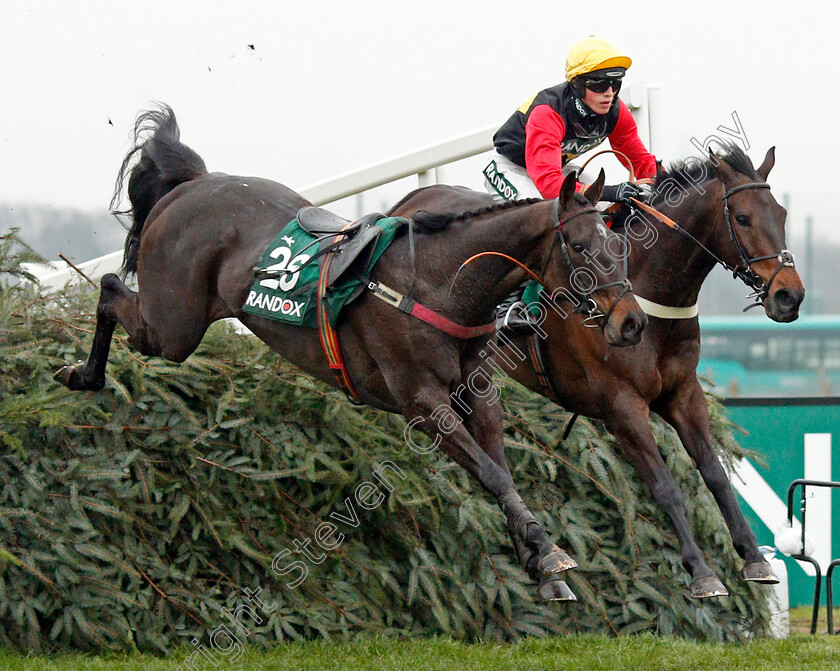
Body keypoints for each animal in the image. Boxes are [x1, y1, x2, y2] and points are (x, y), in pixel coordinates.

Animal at [55, 106, 648, 604]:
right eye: (578, 247)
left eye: (620, 246)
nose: (632, 323)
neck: (441, 283)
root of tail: (194, 184)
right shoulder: (422, 403)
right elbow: (494, 475)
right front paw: (548, 555)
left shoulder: (475, 396)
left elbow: (499, 471)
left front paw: (539, 558)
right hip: (171, 326)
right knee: (110, 288)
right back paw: (81, 374)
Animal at [390, 144, 804, 600]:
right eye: (743, 218)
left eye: (782, 213)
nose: (790, 296)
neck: (649, 298)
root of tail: (412, 198)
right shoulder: (621, 407)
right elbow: (666, 487)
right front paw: (701, 572)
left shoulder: (683, 394)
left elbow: (716, 475)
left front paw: (754, 557)